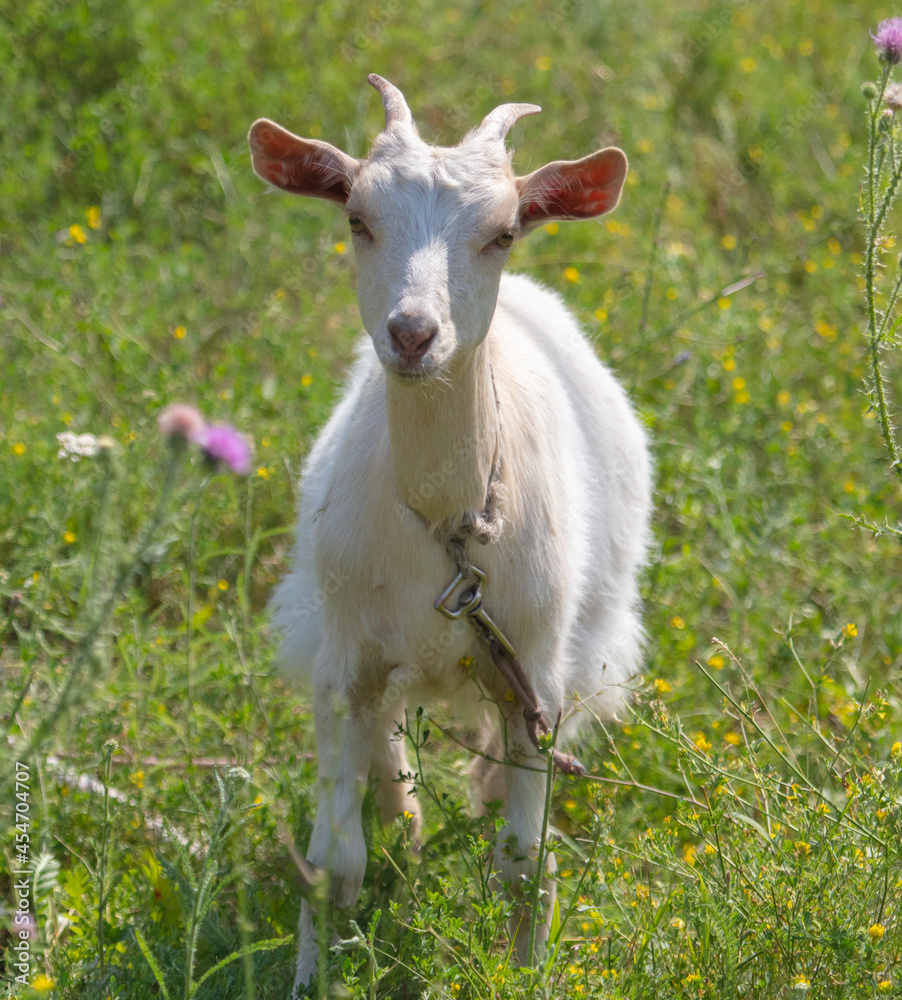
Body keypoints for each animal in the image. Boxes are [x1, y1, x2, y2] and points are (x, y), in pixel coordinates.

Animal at [251, 74, 652, 988]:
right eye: (357, 218)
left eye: (502, 233)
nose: (412, 333)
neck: (449, 526)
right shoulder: (342, 661)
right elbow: (332, 863)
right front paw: (312, 977)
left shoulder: (535, 669)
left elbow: (524, 863)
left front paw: (527, 972)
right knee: (388, 756)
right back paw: (407, 822)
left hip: (583, 642)